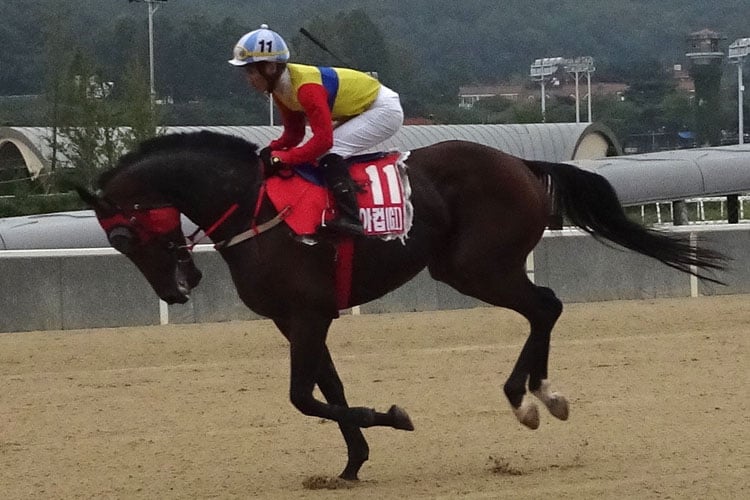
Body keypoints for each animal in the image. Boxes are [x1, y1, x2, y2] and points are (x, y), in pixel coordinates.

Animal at [78, 130, 728, 480]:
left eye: (123, 236)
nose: (176, 289)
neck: (253, 208)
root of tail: (520, 162)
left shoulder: (309, 316)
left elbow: (301, 398)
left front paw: (391, 417)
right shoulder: (299, 319)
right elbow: (327, 391)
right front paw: (353, 462)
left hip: (474, 267)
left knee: (545, 306)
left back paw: (531, 397)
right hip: (470, 268)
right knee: (543, 309)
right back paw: (536, 393)